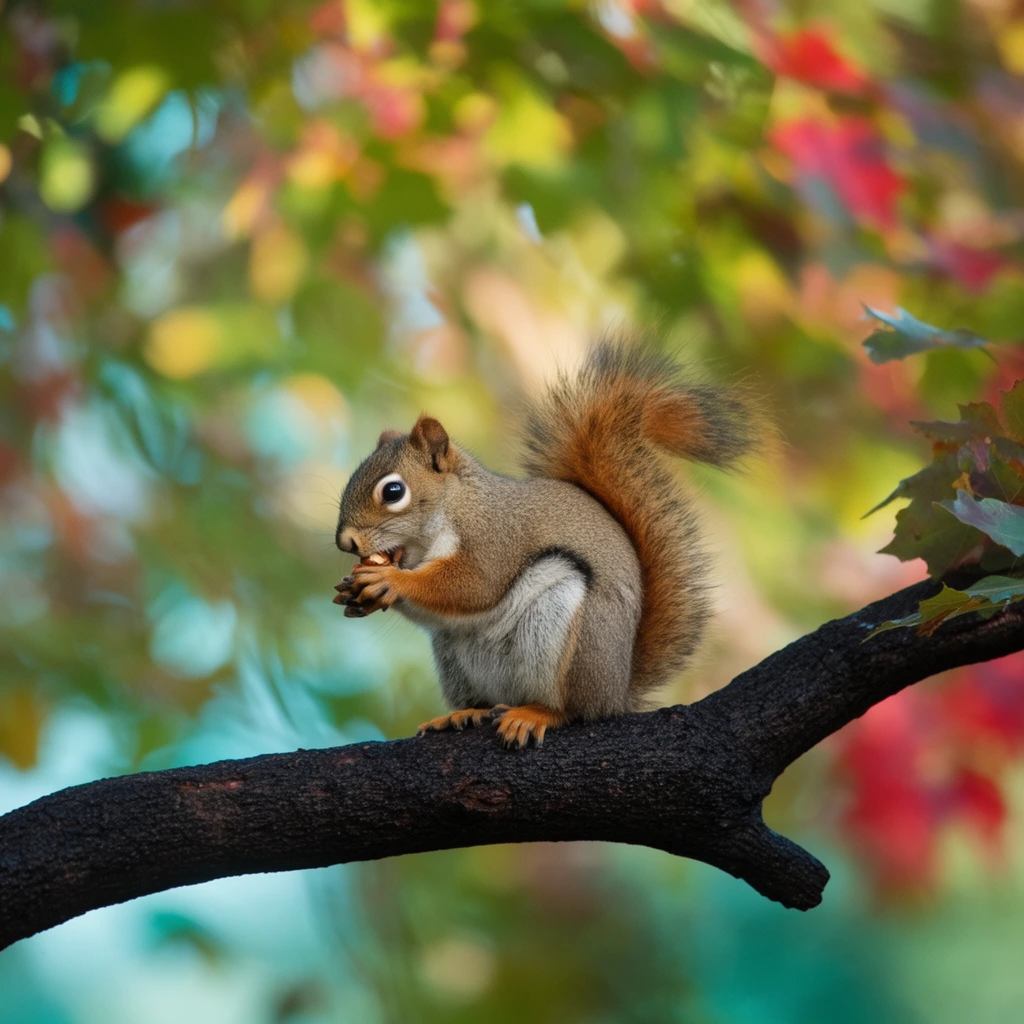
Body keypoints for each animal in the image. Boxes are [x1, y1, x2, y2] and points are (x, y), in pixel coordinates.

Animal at [333, 340, 756, 748]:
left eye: (393, 491)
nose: (345, 541)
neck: (451, 510)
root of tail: (616, 693)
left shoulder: (494, 538)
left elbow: (472, 586)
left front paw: (390, 581)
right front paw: (355, 592)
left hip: (563, 629)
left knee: (571, 709)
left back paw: (538, 714)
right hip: (454, 656)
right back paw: (462, 714)